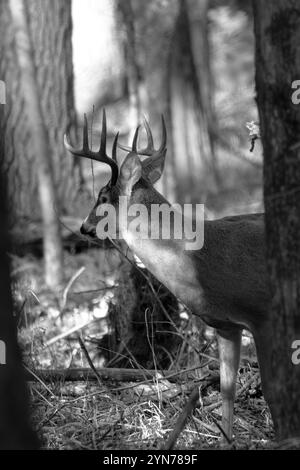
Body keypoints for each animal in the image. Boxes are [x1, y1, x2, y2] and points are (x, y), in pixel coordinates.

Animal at [64, 111, 276, 444]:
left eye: (102, 196)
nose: (84, 227)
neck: (200, 261)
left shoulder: (263, 315)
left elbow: (270, 390)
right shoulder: (227, 325)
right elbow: (227, 391)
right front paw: (226, 440)